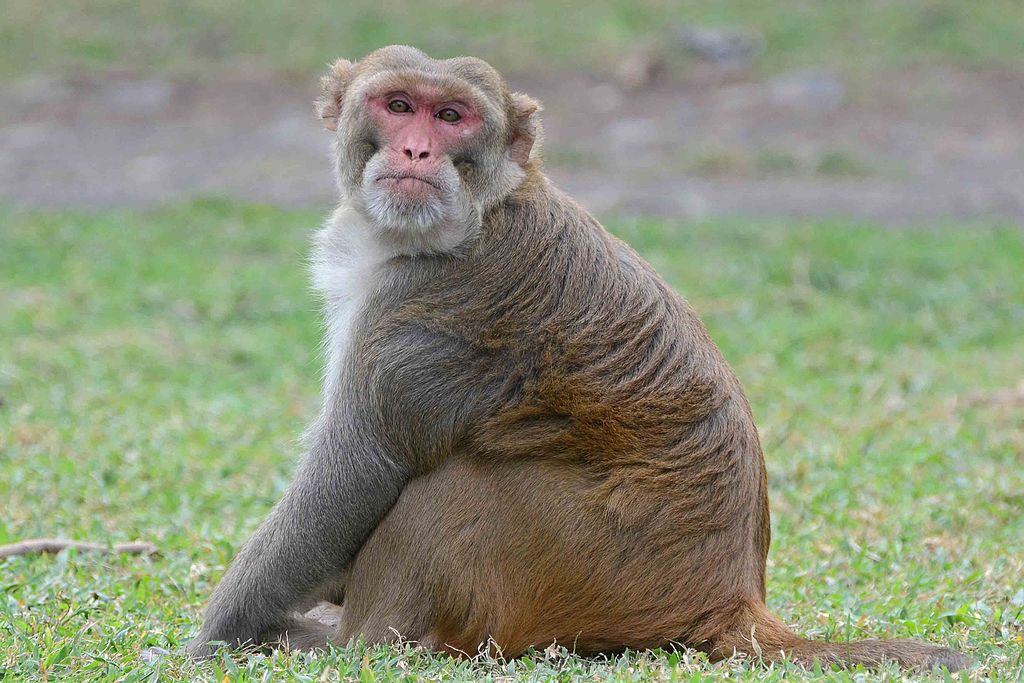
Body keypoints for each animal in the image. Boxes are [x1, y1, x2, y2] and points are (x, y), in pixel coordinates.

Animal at [182, 46, 966, 671]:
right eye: (399, 106)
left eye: (453, 117)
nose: (415, 152)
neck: (482, 211)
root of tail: (729, 597)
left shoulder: (428, 321)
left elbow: (357, 470)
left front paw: (219, 634)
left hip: (584, 562)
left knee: (449, 486)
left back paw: (354, 640)